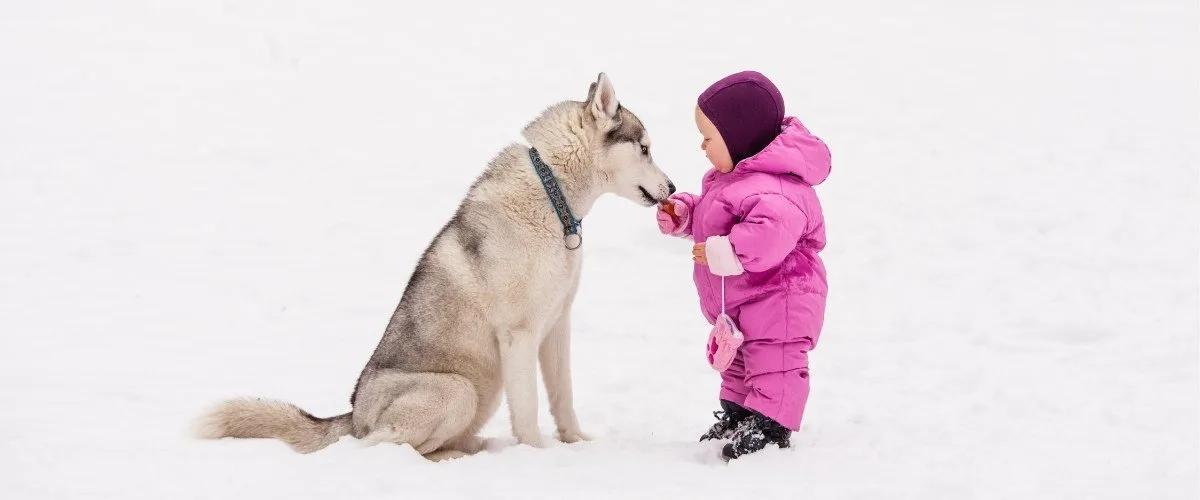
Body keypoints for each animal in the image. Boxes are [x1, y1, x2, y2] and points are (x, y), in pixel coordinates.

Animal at [192, 73, 672, 460]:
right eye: (645, 148)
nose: (672, 187)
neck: (552, 195)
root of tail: (354, 415)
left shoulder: (557, 327)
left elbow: (563, 398)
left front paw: (576, 444)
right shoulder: (519, 335)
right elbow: (529, 408)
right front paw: (536, 455)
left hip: (479, 392)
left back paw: (471, 449)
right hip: (457, 390)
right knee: (376, 447)